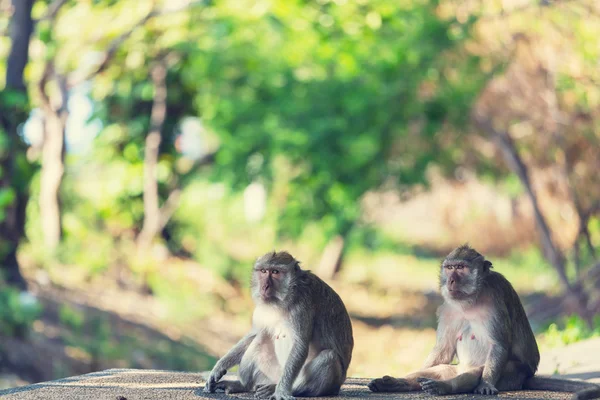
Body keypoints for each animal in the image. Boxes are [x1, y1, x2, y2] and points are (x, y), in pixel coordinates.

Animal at [204, 252, 354, 398]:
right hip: (269, 374)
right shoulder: (263, 307)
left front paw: (281, 392)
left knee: (329, 357)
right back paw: (243, 385)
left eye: (275, 272)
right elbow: (254, 333)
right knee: (261, 336)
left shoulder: (302, 305)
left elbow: (300, 344)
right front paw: (218, 367)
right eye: (264, 271)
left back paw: (284, 389)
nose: (264, 286)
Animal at [370, 245, 600, 398]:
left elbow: (498, 345)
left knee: (476, 371)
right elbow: (443, 350)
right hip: (458, 367)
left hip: (514, 374)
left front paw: (486, 384)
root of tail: (528, 376)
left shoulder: (494, 302)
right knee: (442, 370)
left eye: (461, 267)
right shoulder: (447, 309)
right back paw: (398, 384)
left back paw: (444, 387)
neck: (471, 300)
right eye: (449, 268)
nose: (451, 280)